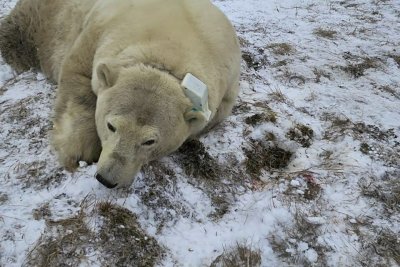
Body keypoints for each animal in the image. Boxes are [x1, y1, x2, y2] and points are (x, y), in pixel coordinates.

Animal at [0, 0, 241, 188]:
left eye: (150, 141)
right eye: (111, 126)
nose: (107, 179)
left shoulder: (226, 89)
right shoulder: (97, 33)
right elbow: (79, 79)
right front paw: (79, 152)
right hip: (40, 21)